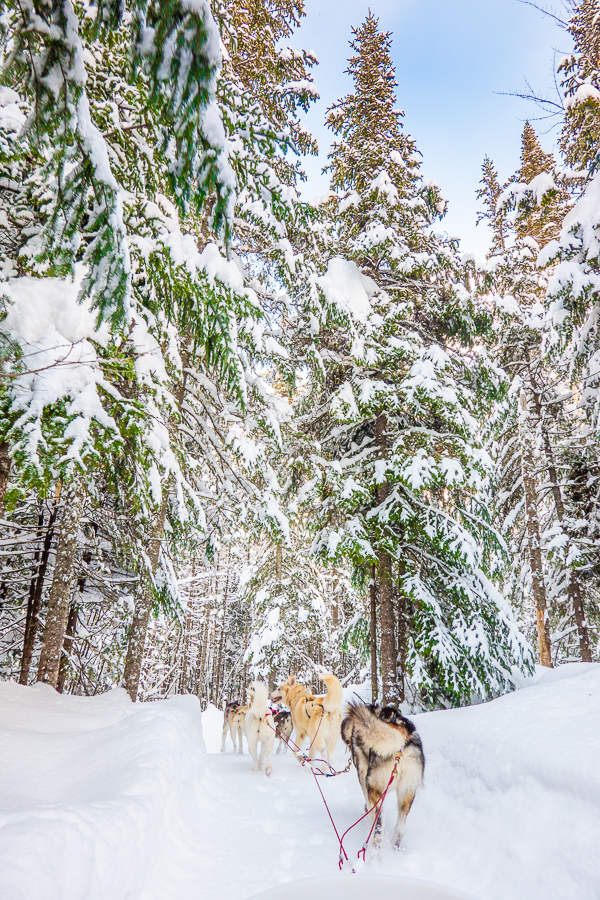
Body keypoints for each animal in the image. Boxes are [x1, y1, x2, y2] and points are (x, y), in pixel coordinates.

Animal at [340, 704, 424, 852]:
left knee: (379, 825)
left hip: (375, 788)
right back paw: (395, 847)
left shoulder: (364, 778)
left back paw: (375, 850)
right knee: (400, 827)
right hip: (407, 792)